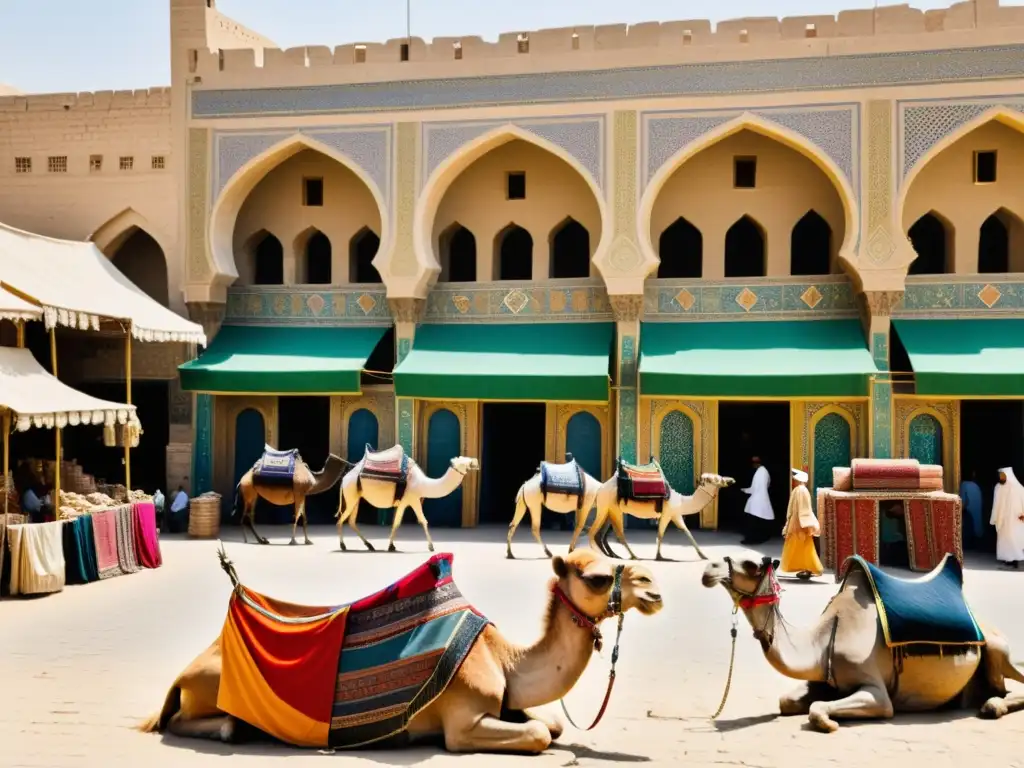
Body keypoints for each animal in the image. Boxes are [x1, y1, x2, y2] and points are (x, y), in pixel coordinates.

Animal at [136, 548, 663, 753]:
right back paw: (235, 728)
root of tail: (182, 673)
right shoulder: (462, 721)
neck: (504, 658)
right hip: (206, 684)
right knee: (183, 720)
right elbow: (537, 733)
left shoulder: (505, 700)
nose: (654, 588)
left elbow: (550, 722)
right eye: (597, 578)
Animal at [335, 444, 479, 552]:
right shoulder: (413, 499)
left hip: (356, 498)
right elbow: (423, 520)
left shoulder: (404, 502)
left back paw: (370, 545)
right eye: (465, 461)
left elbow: (396, 523)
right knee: (341, 520)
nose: (476, 462)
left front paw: (391, 546)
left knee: (351, 521)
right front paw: (431, 547)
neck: (423, 484)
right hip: (351, 494)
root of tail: (345, 478)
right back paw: (343, 546)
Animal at [589, 473, 733, 561]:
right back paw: (633, 556)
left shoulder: (676, 515)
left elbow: (686, 531)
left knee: (601, 534)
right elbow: (661, 534)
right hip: (611, 507)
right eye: (713, 479)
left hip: (609, 509)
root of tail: (600, 488)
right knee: (616, 533)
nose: (730, 480)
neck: (682, 501)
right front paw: (659, 556)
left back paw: (611, 555)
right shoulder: (668, 513)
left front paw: (703, 555)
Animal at [700, 552, 1024, 733]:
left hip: (996, 647)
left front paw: (829, 724)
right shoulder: (824, 677)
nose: (708, 569)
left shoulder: (877, 692)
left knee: (1005, 687)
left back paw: (993, 705)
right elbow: (787, 701)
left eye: (750, 563)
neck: (823, 641)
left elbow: (819, 707)